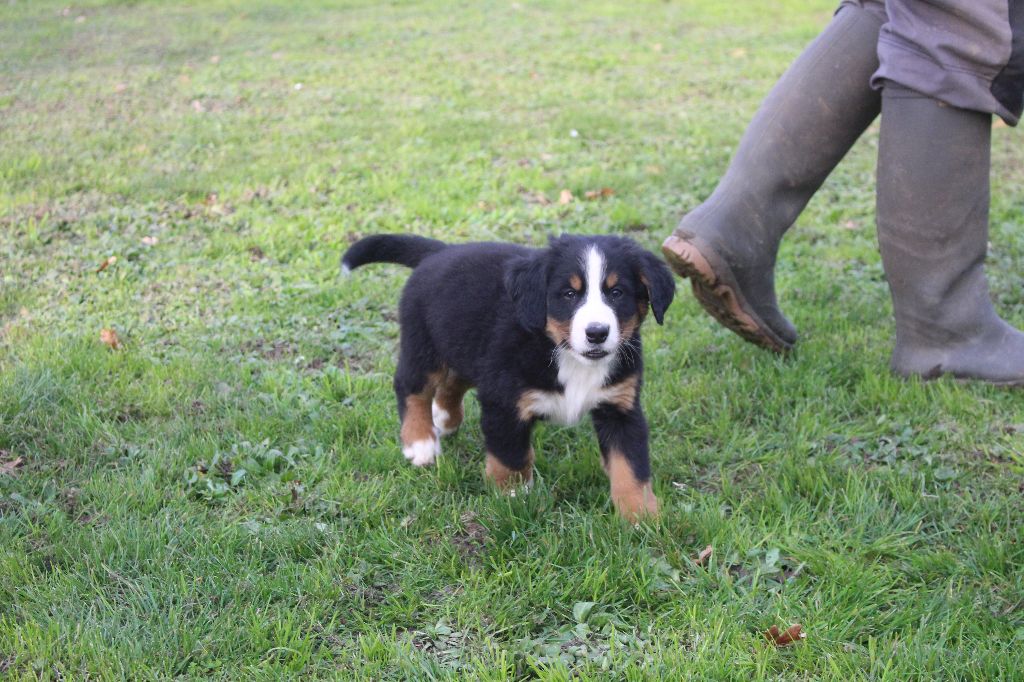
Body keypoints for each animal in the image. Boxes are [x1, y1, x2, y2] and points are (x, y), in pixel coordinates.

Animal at [342, 233, 675, 521]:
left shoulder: (621, 407)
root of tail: (439, 251)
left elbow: (630, 466)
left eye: (617, 293)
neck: (565, 355)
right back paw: (420, 443)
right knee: (411, 388)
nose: (597, 333)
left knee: (453, 381)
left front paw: (640, 517)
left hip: (466, 347)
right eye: (569, 294)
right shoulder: (503, 401)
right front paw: (514, 496)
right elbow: (512, 456)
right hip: (423, 346)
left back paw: (445, 418)